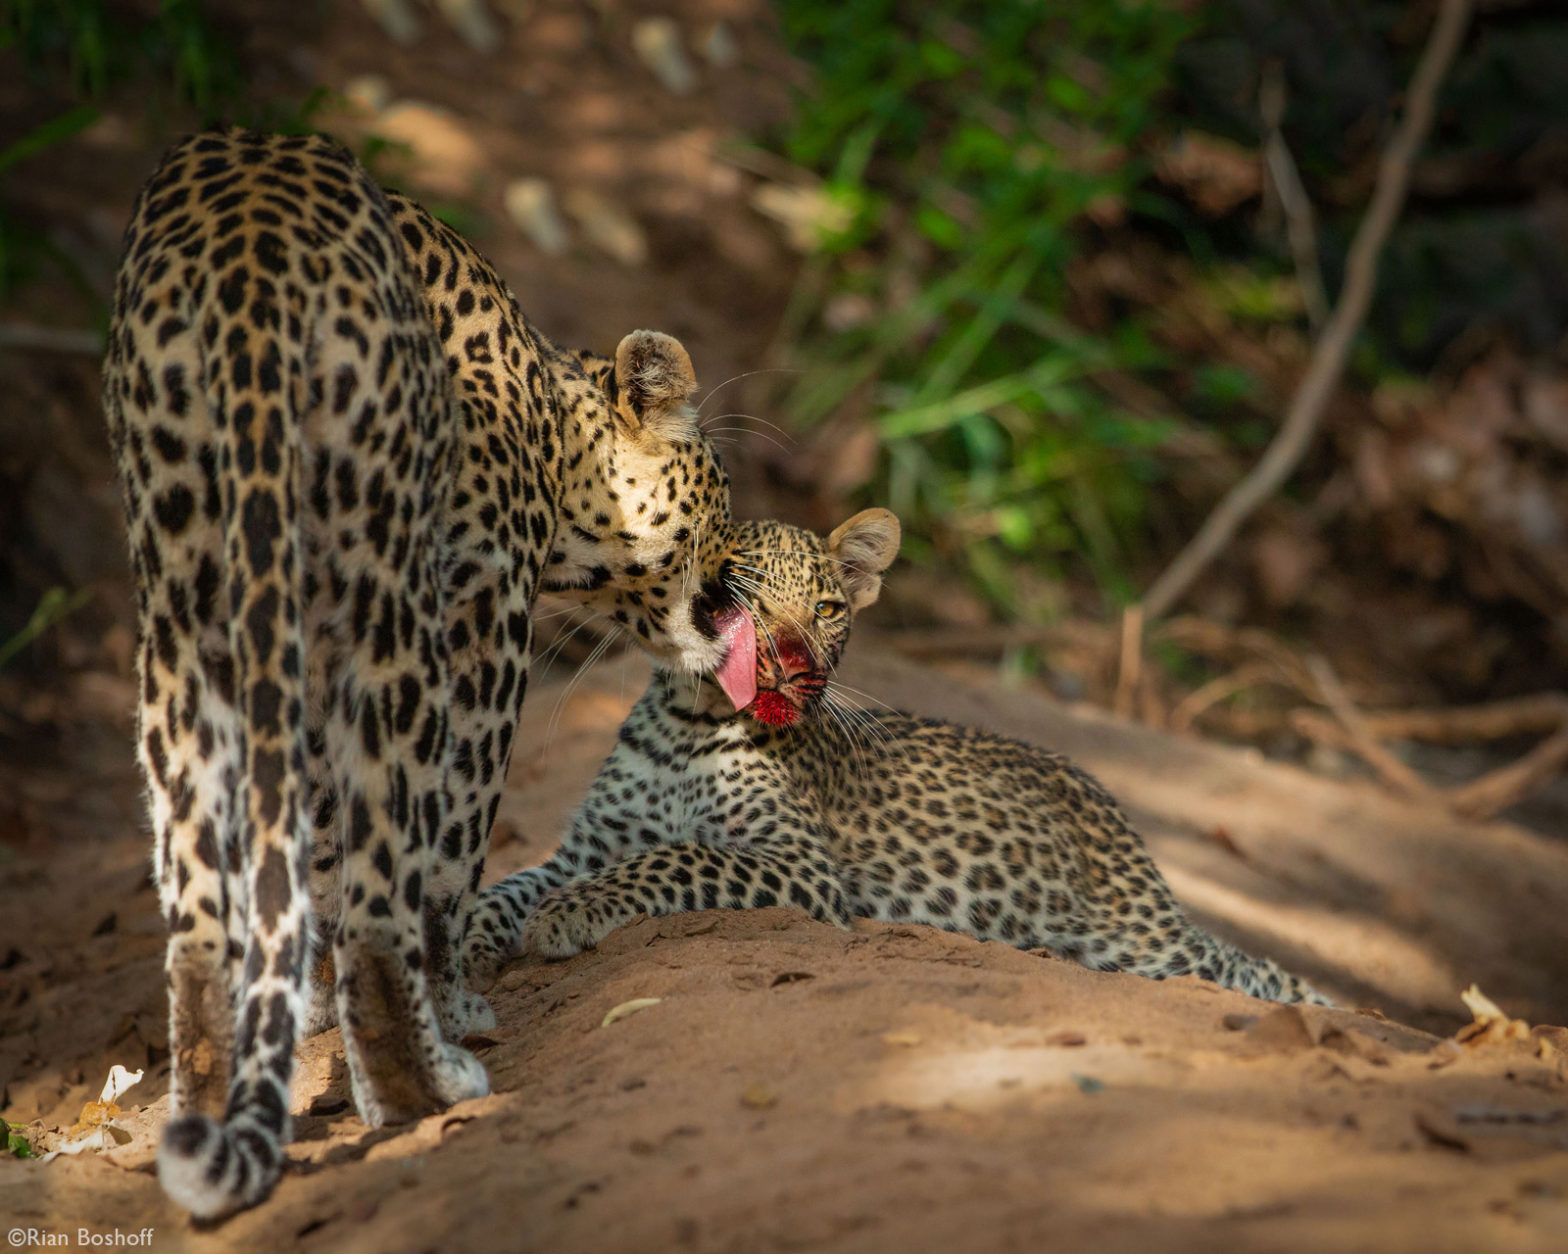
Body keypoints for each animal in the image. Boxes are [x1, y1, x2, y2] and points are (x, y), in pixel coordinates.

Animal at [105, 132, 733, 1222]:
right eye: (723, 497)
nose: (739, 580)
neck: (554, 428)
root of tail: (249, 253)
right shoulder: (487, 605)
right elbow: (446, 849)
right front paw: (457, 1006)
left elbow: (311, 856)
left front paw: (311, 1013)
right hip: (386, 593)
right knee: (387, 876)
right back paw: (420, 1087)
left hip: (187, 610)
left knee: (201, 910)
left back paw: (207, 1129)